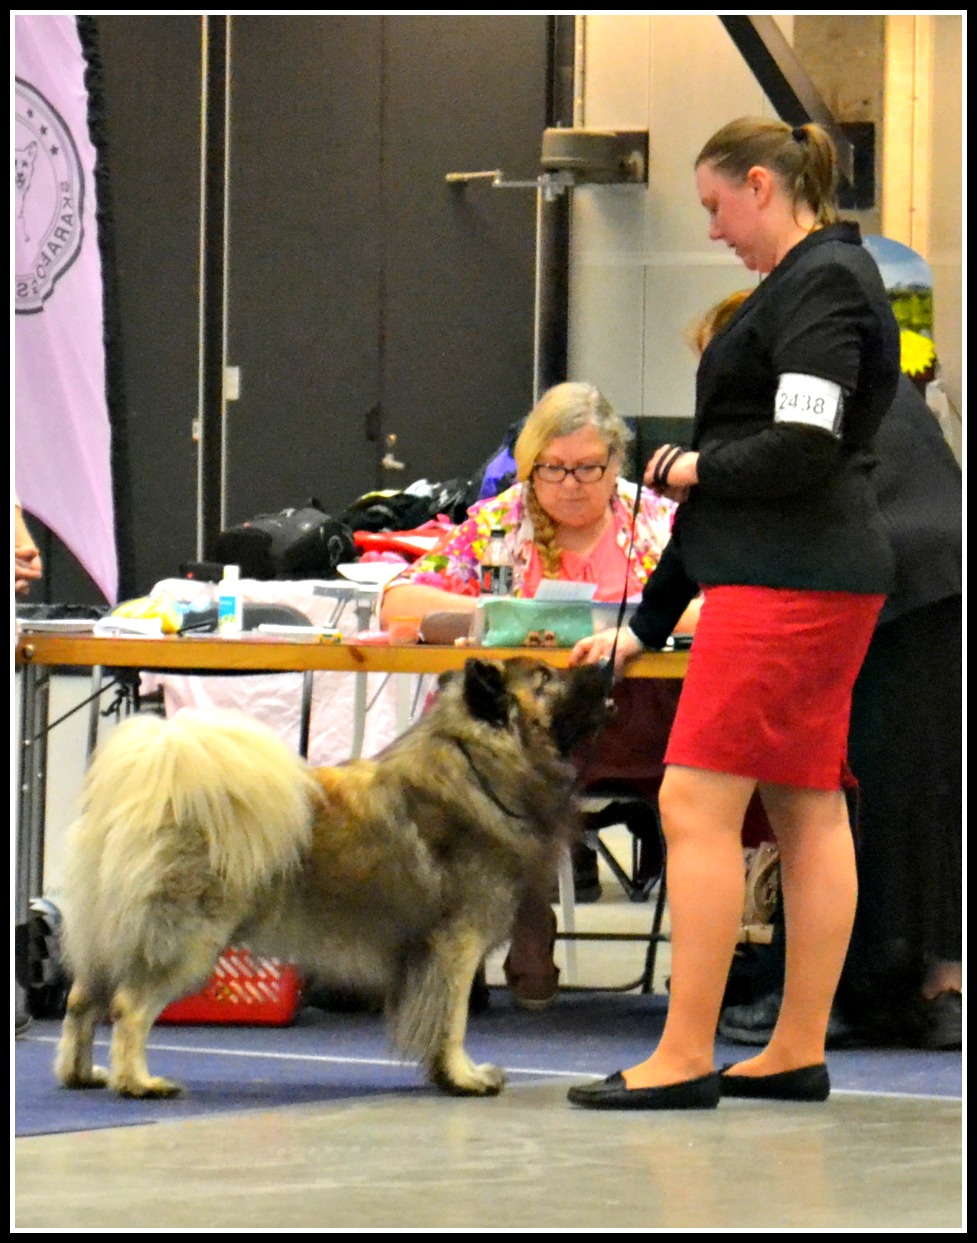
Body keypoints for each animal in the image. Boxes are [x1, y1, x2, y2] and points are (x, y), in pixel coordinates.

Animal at [55, 656, 609, 1099]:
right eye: (545, 677)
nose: (603, 662)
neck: (479, 764)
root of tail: (152, 789)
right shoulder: (456, 944)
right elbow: (451, 1021)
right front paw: (463, 1076)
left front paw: (451, 1073)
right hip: (187, 939)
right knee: (128, 1006)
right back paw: (138, 1082)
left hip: (110, 935)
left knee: (81, 1001)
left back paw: (82, 1075)